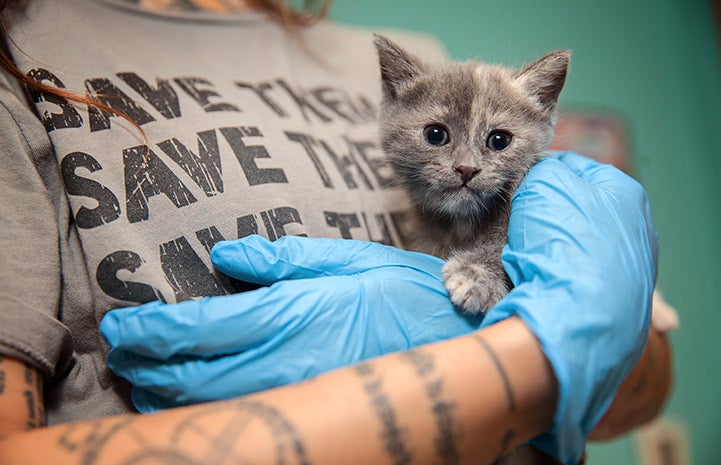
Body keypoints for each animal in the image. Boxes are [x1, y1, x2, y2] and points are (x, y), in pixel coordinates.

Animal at [372, 34, 568, 314]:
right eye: (435, 134)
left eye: (499, 140)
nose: (467, 168)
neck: (461, 224)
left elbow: (503, 243)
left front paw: (476, 274)